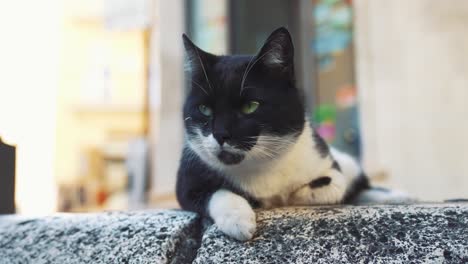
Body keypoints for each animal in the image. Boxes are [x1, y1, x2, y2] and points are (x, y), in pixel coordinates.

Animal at [175, 26, 410, 241]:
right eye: (204, 109)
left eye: (250, 106)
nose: (220, 134)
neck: (261, 165)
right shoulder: (187, 180)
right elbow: (216, 192)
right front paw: (238, 219)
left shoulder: (326, 161)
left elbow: (333, 185)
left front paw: (294, 194)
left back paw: (397, 196)